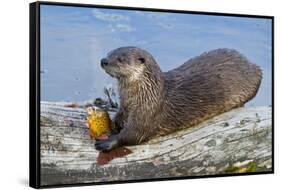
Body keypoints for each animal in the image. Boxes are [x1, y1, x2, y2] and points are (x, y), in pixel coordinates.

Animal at [95, 46, 262, 151]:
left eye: (120, 59)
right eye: (110, 53)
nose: (103, 60)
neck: (145, 94)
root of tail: (251, 64)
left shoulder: (149, 112)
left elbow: (133, 134)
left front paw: (109, 142)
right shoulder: (125, 105)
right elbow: (119, 118)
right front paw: (111, 124)